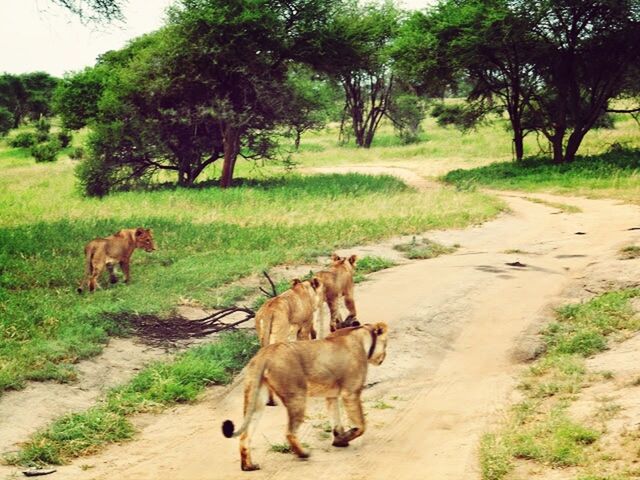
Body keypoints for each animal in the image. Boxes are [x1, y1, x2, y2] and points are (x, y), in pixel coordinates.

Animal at [222, 320, 388, 470]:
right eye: (386, 345)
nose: (384, 357)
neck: (361, 335)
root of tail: (266, 353)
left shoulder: (331, 395)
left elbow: (336, 421)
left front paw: (340, 440)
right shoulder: (351, 392)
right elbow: (361, 425)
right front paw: (345, 438)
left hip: (255, 399)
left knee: (245, 436)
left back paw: (248, 466)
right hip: (297, 396)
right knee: (289, 433)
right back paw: (303, 454)